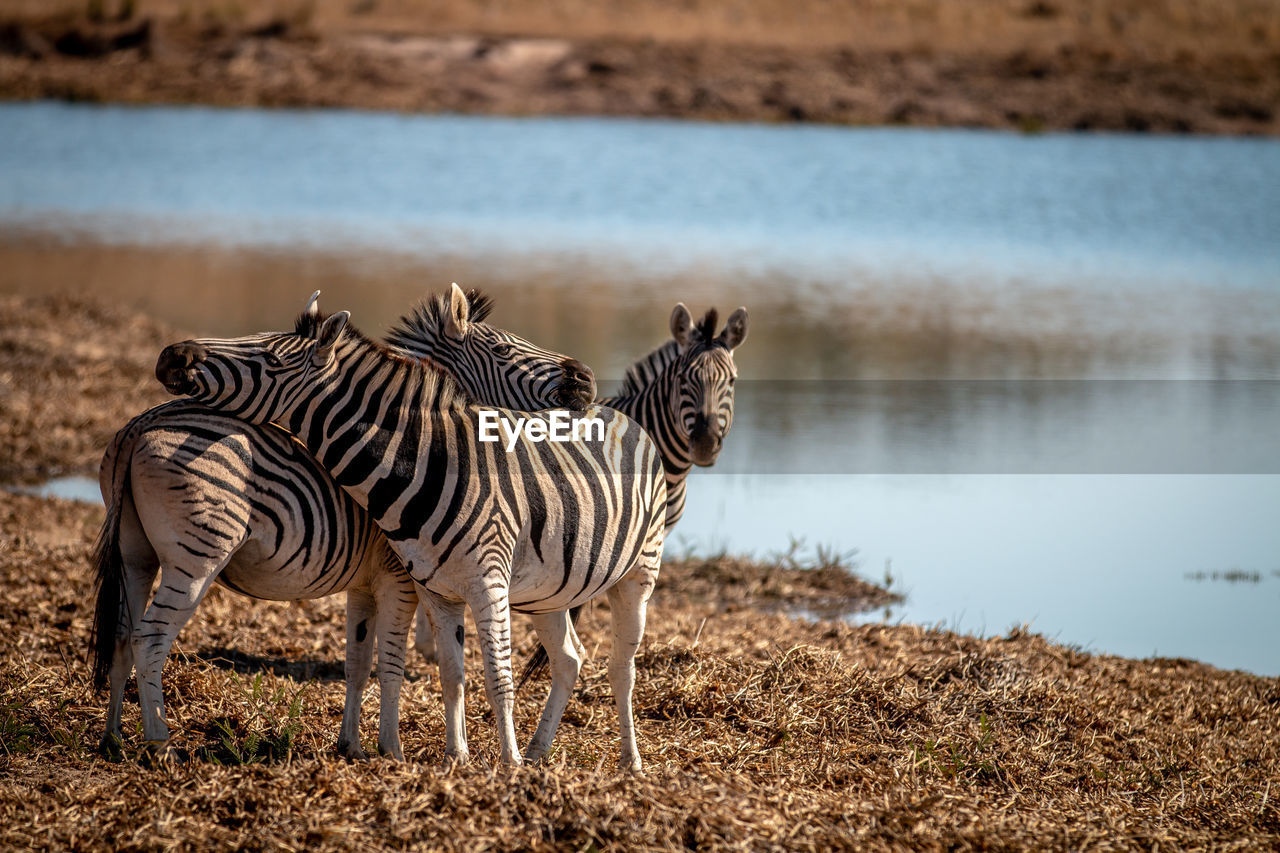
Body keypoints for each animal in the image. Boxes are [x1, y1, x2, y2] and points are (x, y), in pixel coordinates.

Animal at [153, 292, 665, 763]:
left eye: (271, 359)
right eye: (502, 349)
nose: (171, 356)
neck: (432, 460)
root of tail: (621, 413)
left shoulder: (479, 582)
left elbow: (491, 675)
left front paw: (505, 764)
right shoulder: (434, 587)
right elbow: (449, 672)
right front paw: (456, 758)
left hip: (639, 572)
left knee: (622, 667)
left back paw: (629, 761)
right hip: (549, 591)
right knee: (570, 659)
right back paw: (542, 751)